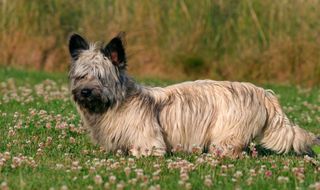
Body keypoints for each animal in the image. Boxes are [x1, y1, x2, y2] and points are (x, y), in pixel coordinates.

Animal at [67, 32, 318, 157]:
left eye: (100, 77)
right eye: (81, 76)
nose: (85, 92)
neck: (117, 102)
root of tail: (262, 92)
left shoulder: (150, 143)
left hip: (225, 135)